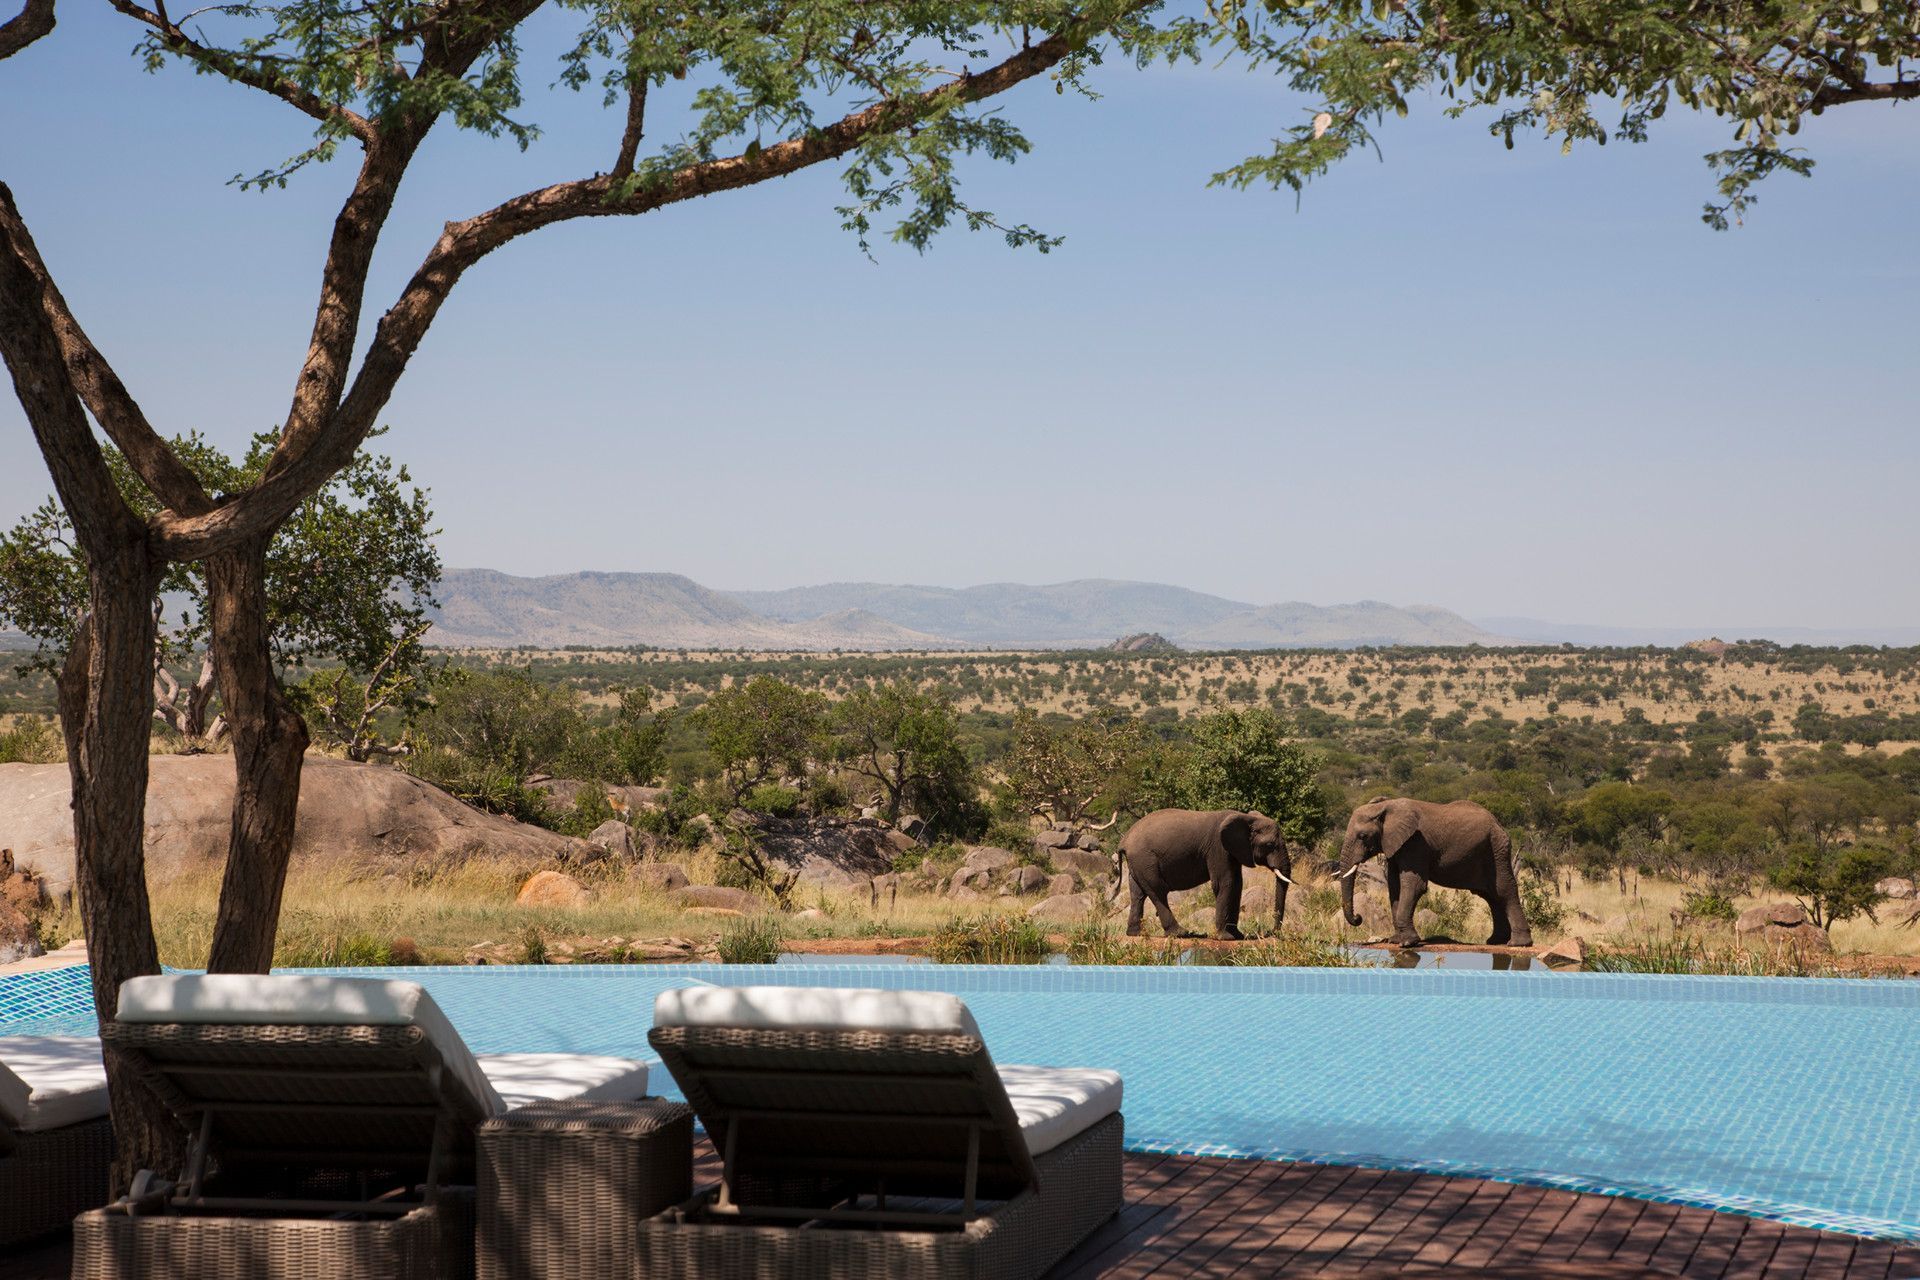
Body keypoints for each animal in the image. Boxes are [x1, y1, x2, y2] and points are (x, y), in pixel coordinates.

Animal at [1121, 809, 1297, 940]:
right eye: (1270, 845)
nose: (1272, 932)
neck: (1247, 818)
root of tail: (1125, 840)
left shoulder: (1232, 851)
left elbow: (1237, 884)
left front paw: (1237, 936)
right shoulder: (1218, 847)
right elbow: (1226, 883)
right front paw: (1225, 938)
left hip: (1138, 863)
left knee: (1137, 894)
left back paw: (1135, 934)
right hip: (1145, 859)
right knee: (1158, 891)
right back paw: (1181, 933)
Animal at [1336, 790, 1528, 951]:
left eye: (1363, 836)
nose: (1358, 918)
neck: (1386, 807)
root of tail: (1498, 823)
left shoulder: (1415, 842)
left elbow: (1413, 885)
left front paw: (1407, 943)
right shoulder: (1396, 845)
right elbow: (1394, 886)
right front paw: (1395, 940)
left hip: (1497, 849)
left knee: (1504, 889)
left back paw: (1518, 943)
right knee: (1491, 895)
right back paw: (1496, 941)